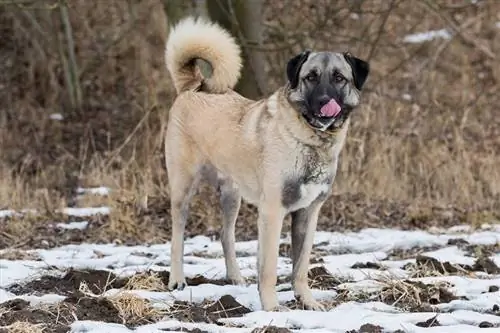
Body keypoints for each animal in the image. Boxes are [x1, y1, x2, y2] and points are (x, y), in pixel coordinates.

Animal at [162, 16, 370, 312]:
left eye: (339, 78)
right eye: (310, 77)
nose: (324, 102)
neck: (308, 139)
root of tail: (193, 85)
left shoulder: (308, 213)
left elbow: (300, 267)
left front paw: (307, 302)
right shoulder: (273, 212)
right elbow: (270, 267)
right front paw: (271, 307)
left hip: (231, 195)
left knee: (226, 235)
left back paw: (235, 278)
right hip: (183, 189)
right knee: (177, 236)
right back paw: (177, 280)